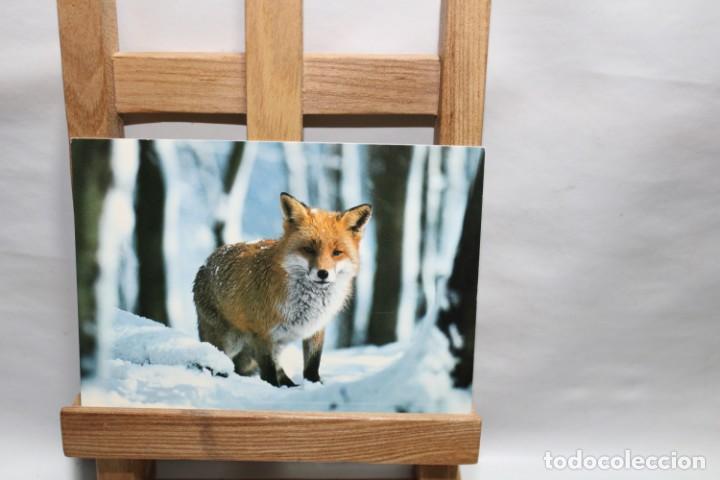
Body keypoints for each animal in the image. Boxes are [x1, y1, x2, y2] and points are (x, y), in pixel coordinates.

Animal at [193, 192, 372, 387]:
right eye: (309, 249)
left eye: (337, 252)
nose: (323, 273)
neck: (306, 305)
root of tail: (204, 264)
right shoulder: (262, 334)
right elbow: (268, 372)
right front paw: (272, 388)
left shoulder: (316, 329)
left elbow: (312, 365)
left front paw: (313, 384)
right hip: (229, 342)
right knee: (215, 359)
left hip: (275, 344)